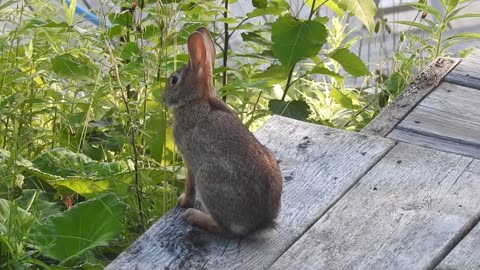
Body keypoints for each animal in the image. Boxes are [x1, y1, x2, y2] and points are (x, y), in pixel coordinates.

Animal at [162, 27, 282, 237]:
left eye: (174, 80)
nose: (163, 98)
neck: (196, 100)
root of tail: (259, 222)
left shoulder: (190, 161)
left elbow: (189, 185)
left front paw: (183, 202)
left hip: (208, 178)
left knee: (225, 229)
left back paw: (194, 216)